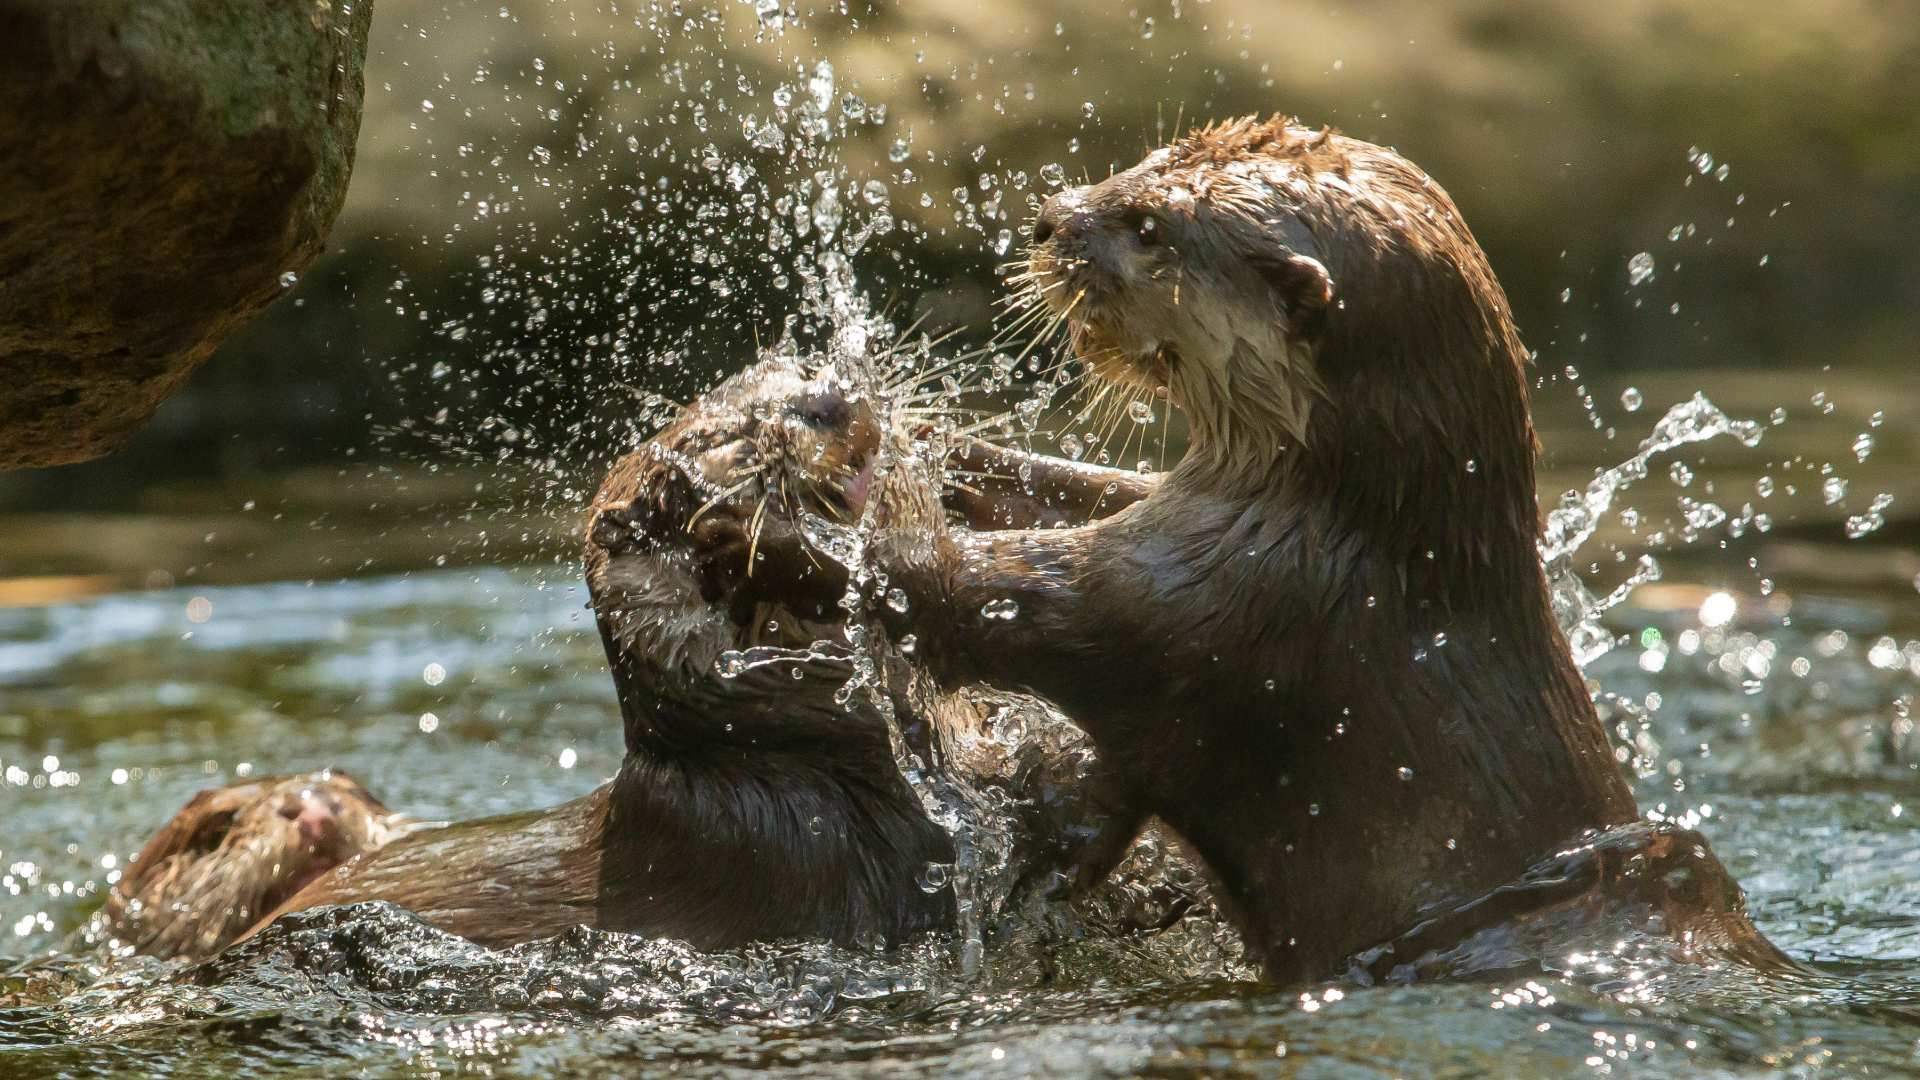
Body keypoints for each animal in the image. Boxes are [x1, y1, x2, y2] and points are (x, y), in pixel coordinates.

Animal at [698, 119, 1789, 983]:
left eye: (1148, 227)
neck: (1356, 527)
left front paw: (767, 536)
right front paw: (925, 438)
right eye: (1146, 159)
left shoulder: (1215, 605)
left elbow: (973, 596)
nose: (1048, 218)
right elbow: (1069, 487)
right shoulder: (1180, 515)